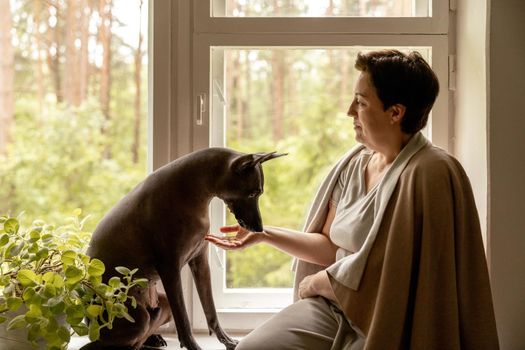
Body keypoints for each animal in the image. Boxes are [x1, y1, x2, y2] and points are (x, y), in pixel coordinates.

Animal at [81, 148, 284, 350]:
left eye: (258, 194)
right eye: (252, 194)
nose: (259, 228)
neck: (194, 191)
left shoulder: (200, 263)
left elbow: (211, 310)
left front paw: (226, 340)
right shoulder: (170, 270)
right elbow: (183, 319)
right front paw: (193, 346)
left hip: (162, 303)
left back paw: (153, 339)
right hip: (136, 317)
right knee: (122, 343)